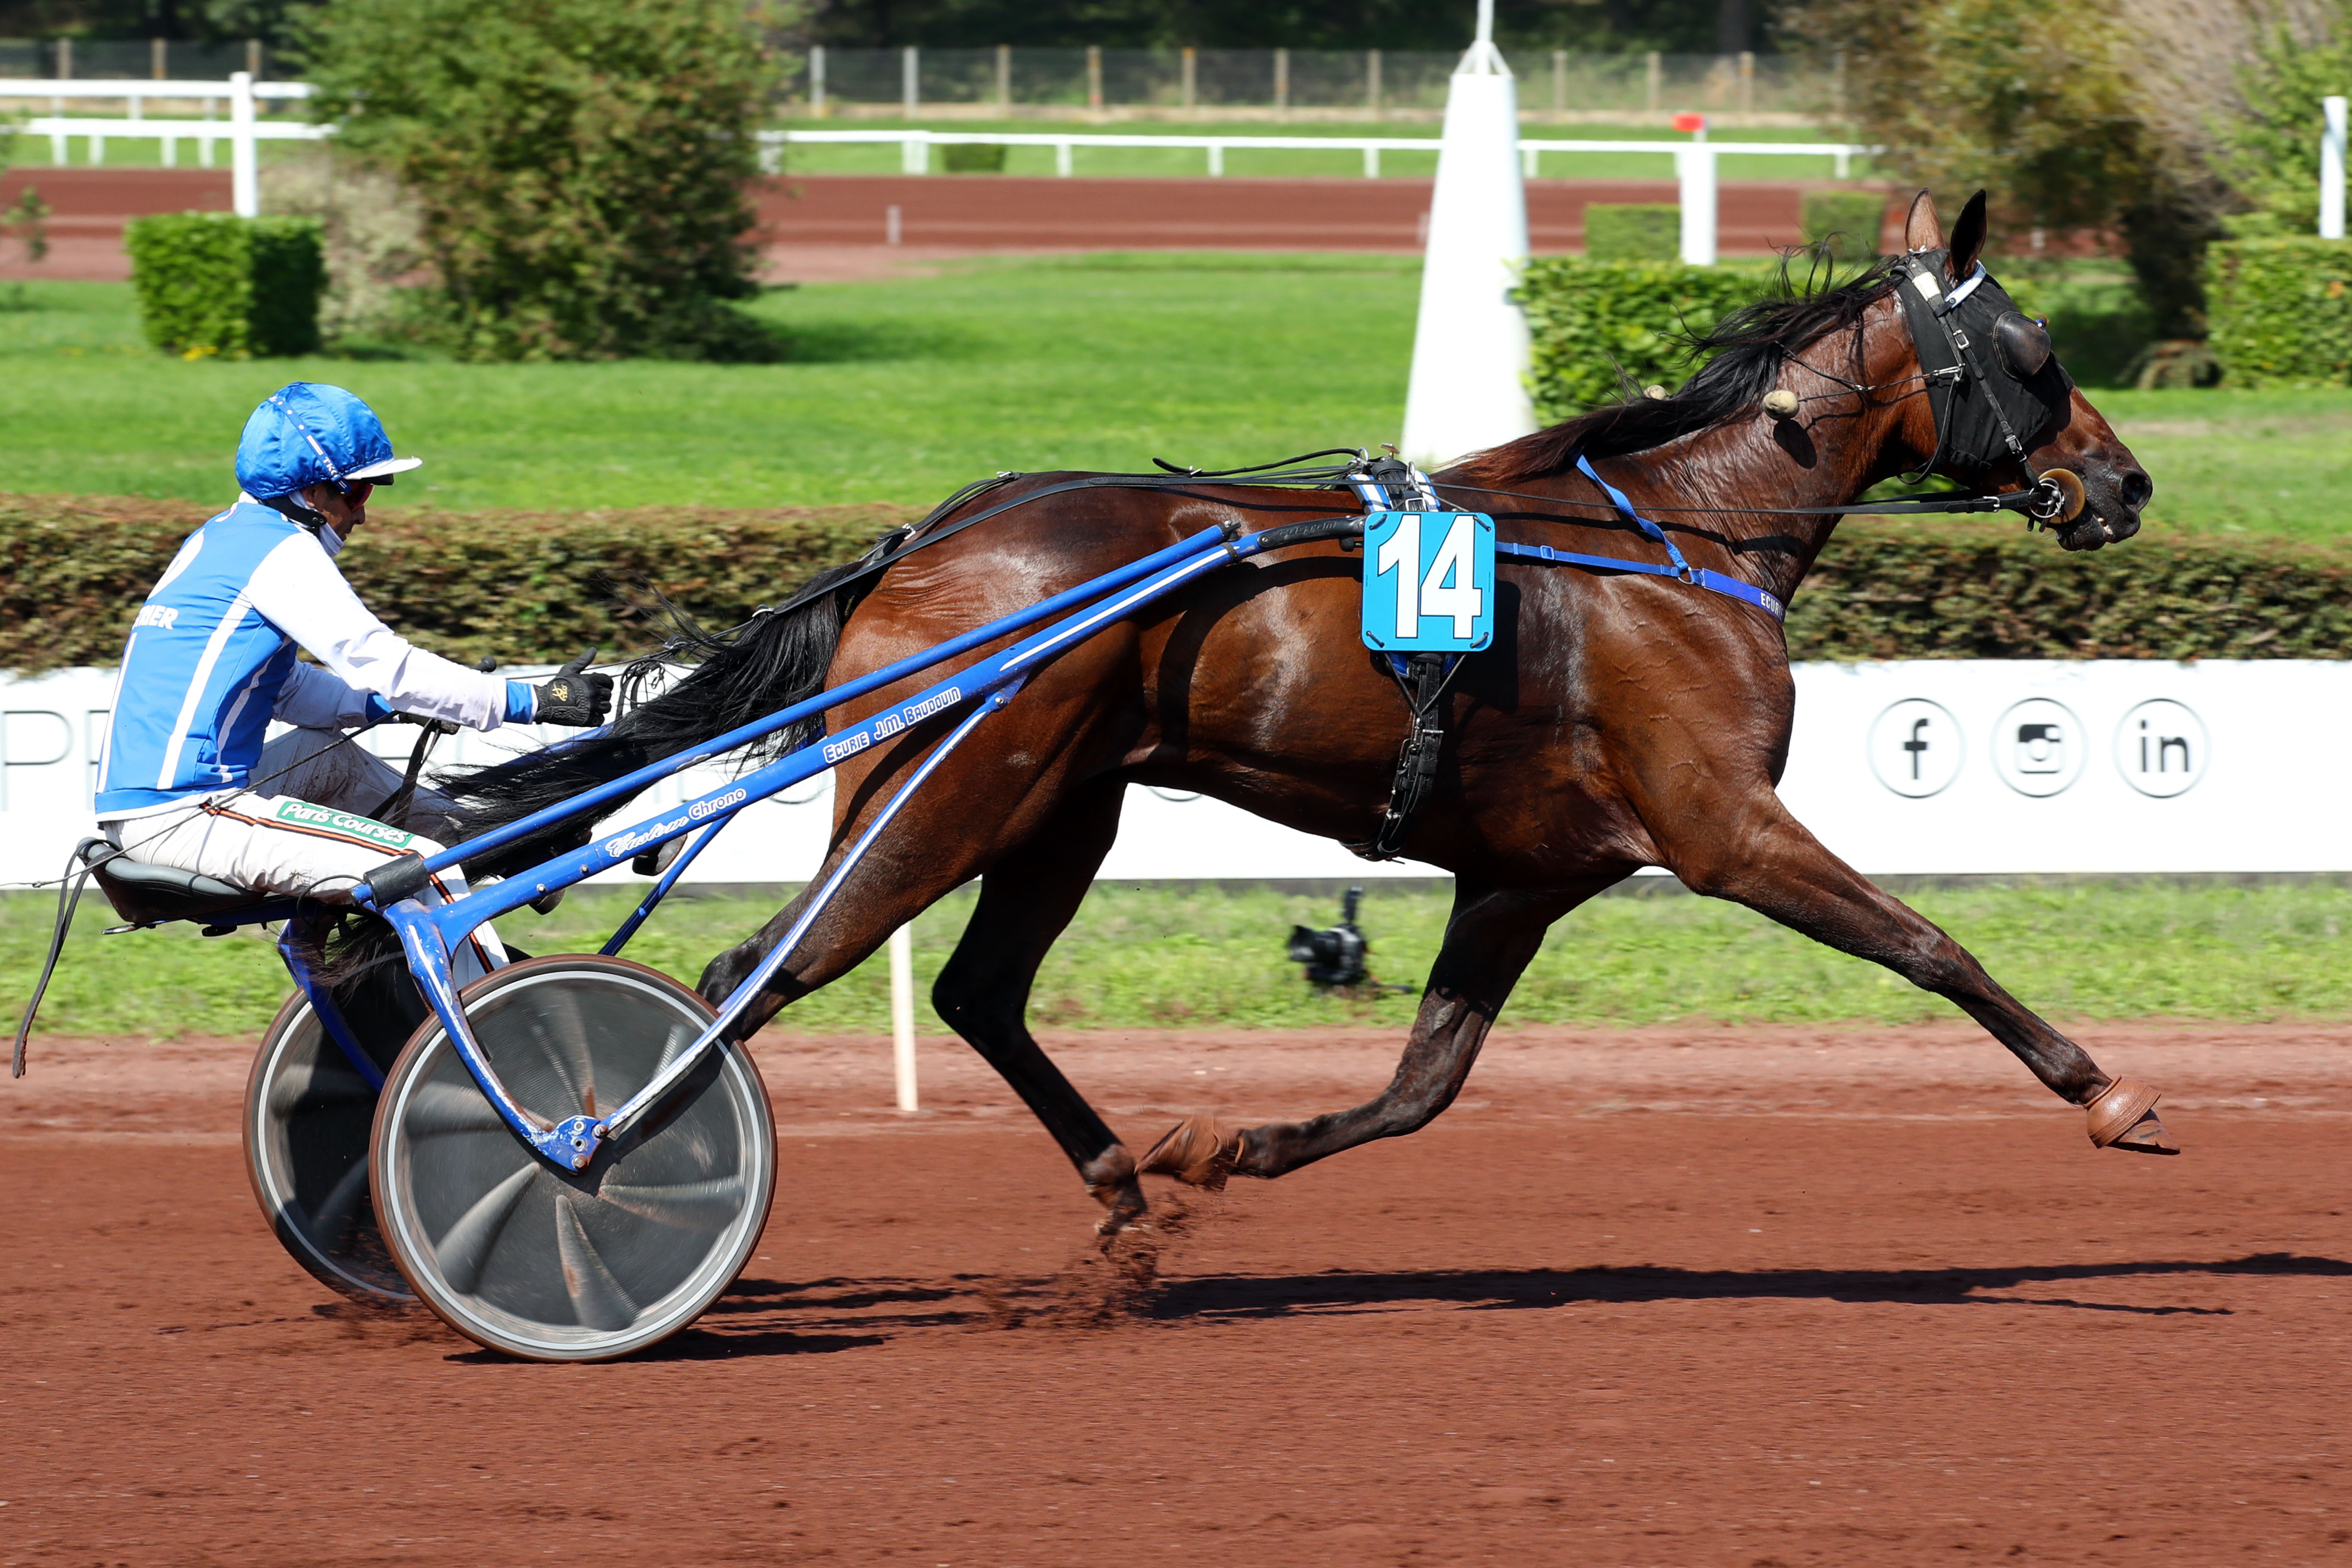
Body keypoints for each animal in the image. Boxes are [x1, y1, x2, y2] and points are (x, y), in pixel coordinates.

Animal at [444, 190, 2164, 1231]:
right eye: (2033, 350)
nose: (2128, 483)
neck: (1681, 535)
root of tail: (925, 539)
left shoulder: (1525, 872)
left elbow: (1421, 1087)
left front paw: (1235, 1146)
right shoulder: (1723, 826)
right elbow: (1930, 945)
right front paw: (2112, 1093)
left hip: (1052, 806)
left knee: (979, 993)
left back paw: (1124, 1181)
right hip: (951, 797)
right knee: (756, 973)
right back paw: (593, 1167)